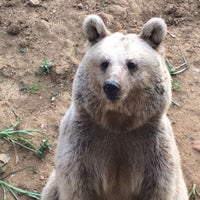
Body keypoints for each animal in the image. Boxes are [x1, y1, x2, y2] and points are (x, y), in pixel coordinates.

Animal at [41, 14, 188, 200]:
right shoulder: (81, 145)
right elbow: (76, 184)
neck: (118, 122)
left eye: (131, 64)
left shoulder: (152, 148)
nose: (111, 86)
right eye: (104, 63)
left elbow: (158, 186)